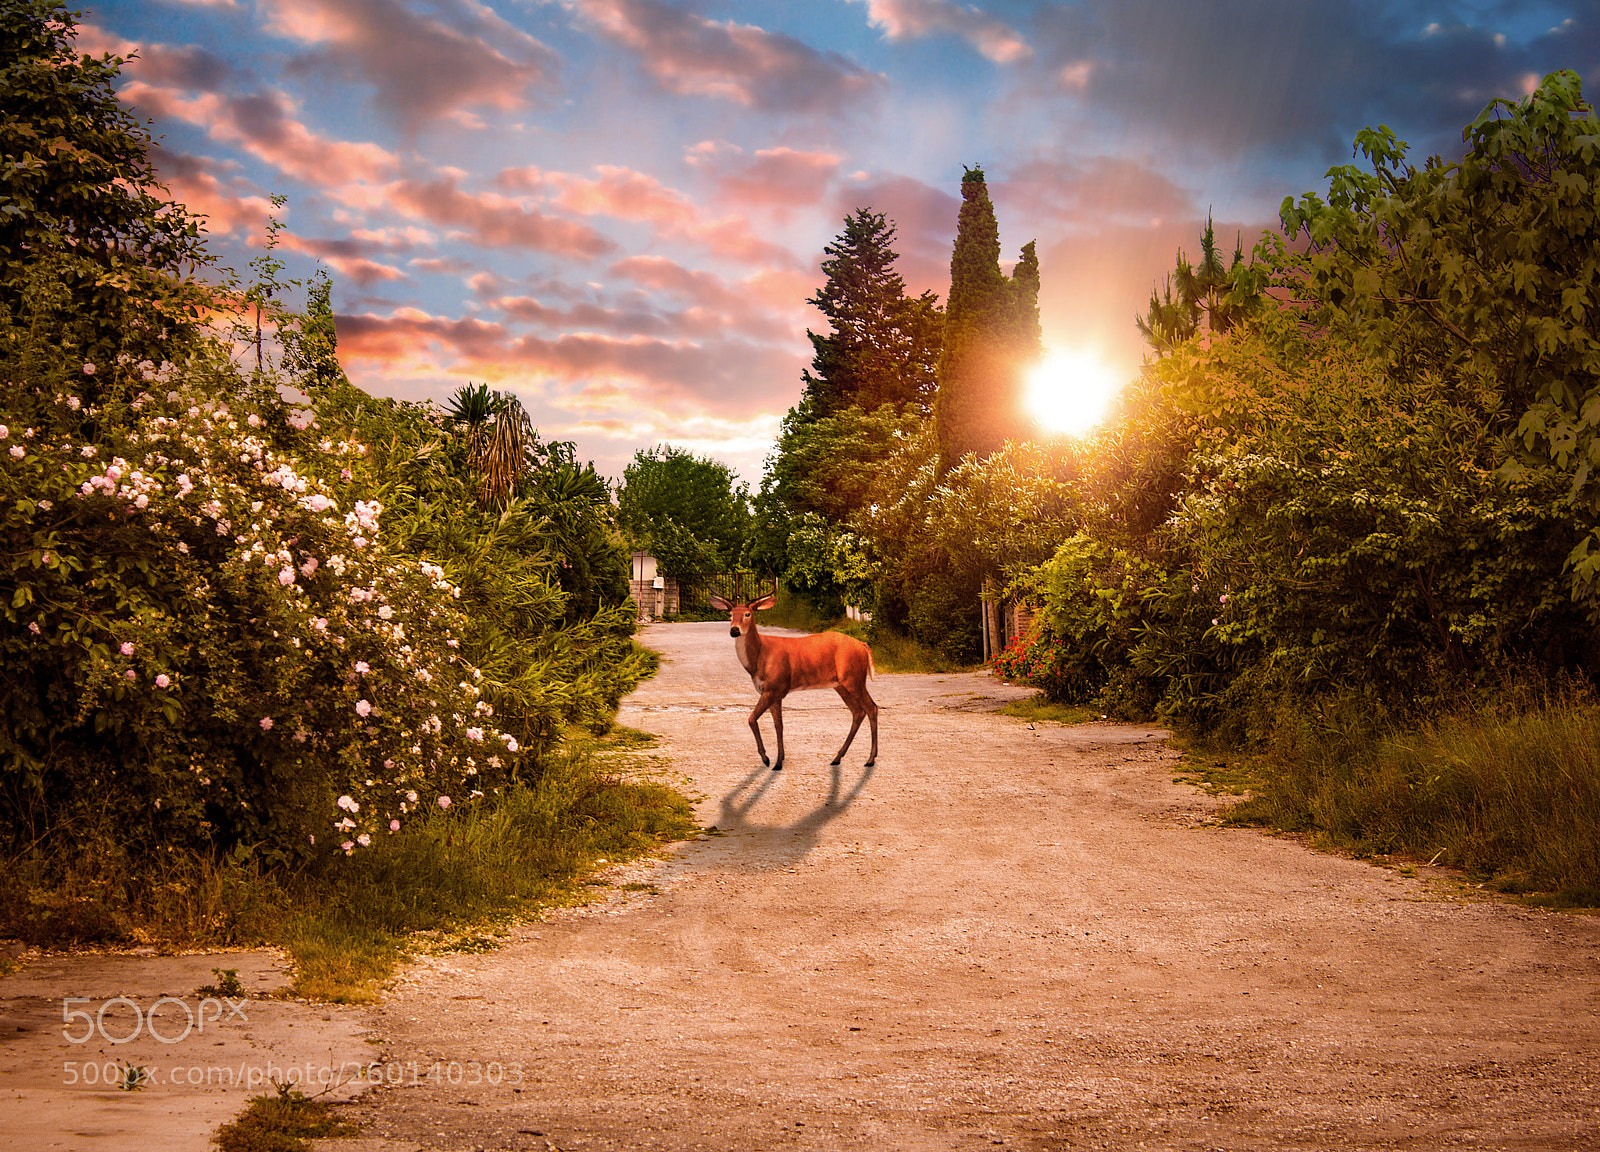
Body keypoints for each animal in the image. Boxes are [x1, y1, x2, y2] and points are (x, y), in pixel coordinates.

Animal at [708, 589, 878, 771]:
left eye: (748, 614)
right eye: (730, 614)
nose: (734, 630)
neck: (760, 657)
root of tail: (863, 645)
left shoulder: (775, 687)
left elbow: (752, 719)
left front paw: (766, 758)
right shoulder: (774, 692)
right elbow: (779, 724)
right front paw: (778, 761)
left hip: (855, 679)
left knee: (871, 708)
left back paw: (870, 759)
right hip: (841, 684)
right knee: (858, 711)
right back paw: (837, 758)